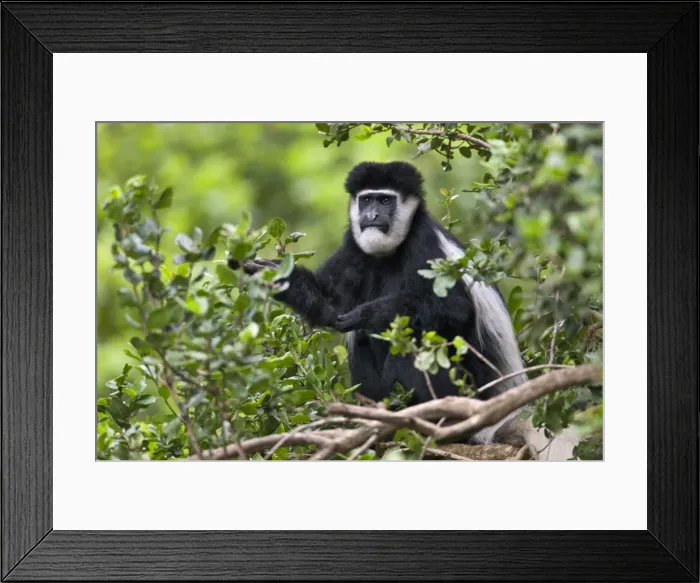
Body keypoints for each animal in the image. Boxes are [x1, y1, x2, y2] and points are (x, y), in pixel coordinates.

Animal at [230, 161, 578, 455]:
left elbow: (454, 308)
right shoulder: (354, 245)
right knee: (361, 341)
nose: (371, 216)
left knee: (416, 341)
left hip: (468, 389)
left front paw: (367, 313)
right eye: (366, 201)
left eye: (386, 201)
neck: (391, 252)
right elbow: (329, 301)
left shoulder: (425, 244)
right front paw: (269, 273)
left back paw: (433, 423)